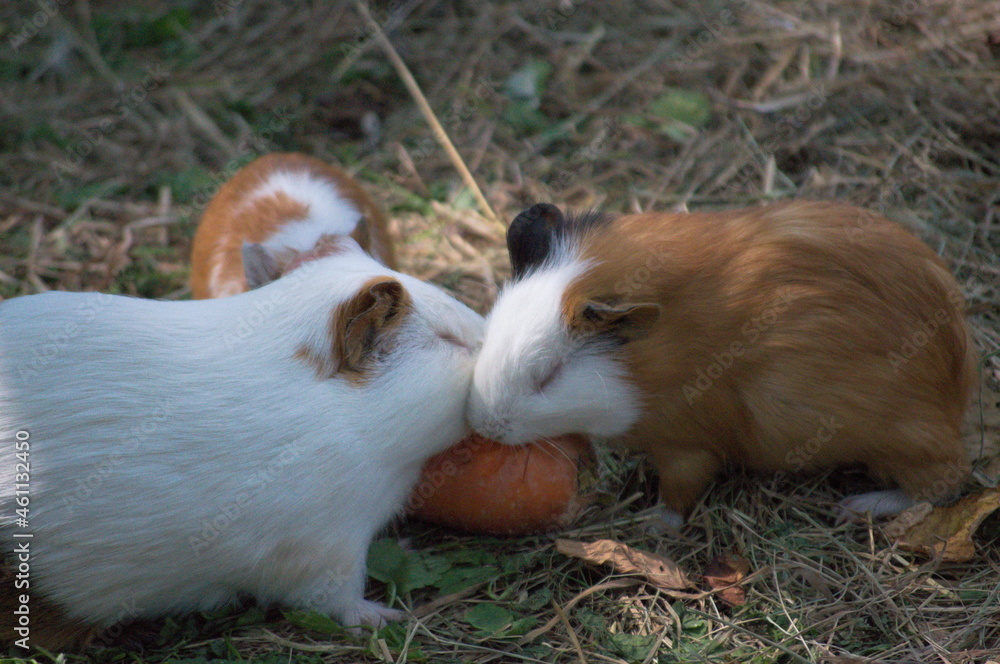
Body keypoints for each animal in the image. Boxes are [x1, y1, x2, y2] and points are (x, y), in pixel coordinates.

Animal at [469, 201, 976, 525]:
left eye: (548, 374)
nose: (486, 424)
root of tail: (956, 386)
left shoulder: (686, 444)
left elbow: (680, 492)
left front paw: (653, 524)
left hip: (906, 441)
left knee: (942, 483)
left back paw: (856, 507)